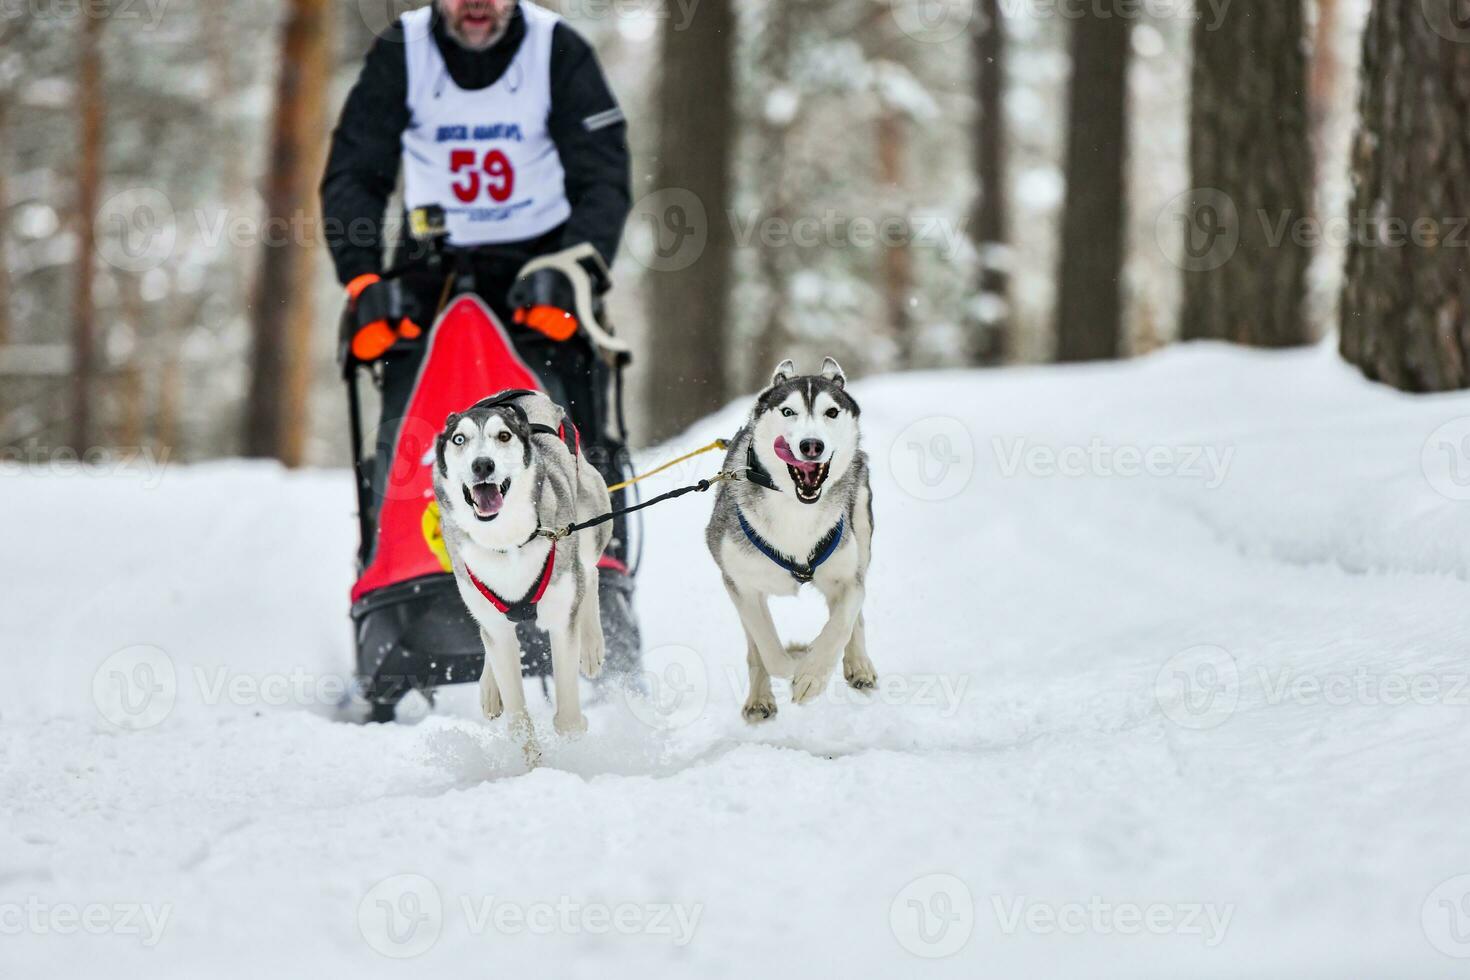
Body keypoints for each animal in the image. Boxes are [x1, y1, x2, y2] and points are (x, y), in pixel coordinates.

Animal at [429, 387, 608, 746]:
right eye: (459, 439)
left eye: (503, 436)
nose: (482, 464)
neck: (507, 541)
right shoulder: (492, 618)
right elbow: (518, 719)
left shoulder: (560, 615)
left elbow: (568, 718)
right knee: (490, 636)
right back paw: (489, 688)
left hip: (590, 526)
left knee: (590, 571)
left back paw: (591, 645)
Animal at [708, 358, 876, 719]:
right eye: (788, 411)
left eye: (831, 412)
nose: (811, 445)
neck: (796, 511)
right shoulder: (740, 583)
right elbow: (768, 650)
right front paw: (797, 661)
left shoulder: (846, 577)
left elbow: (842, 623)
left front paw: (812, 674)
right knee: (754, 647)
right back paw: (760, 698)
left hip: (862, 536)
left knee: (855, 615)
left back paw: (858, 665)